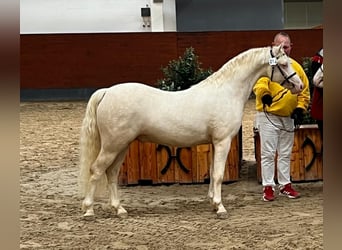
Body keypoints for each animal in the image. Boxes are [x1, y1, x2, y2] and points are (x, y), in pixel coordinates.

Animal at [79, 44, 304, 219]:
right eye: (284, 64)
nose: (300, 85)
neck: (226, 91)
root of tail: (107, 92)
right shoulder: (222, 141)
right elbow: (219, 174)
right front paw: (220, 208)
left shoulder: (214, 143)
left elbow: (212, 173)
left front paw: (213, 202)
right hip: (113, 145)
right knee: (96, 170)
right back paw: (89, 210)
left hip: (122, 146)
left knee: (111, 173)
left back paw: (119, 209)